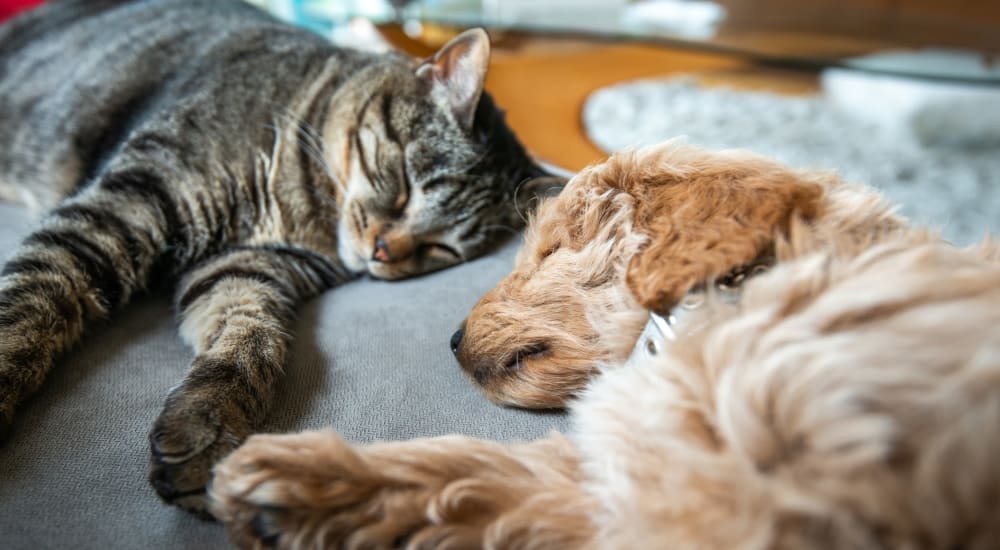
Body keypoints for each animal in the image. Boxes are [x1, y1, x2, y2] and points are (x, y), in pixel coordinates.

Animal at [0, 0, 556, 516]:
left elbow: (251, 339)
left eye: (439, 248)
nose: (383, 252)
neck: (299, 207)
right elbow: (32, 299)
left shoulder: (247, 267)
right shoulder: (129, 205)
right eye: (403, 187)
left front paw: (208, 426)